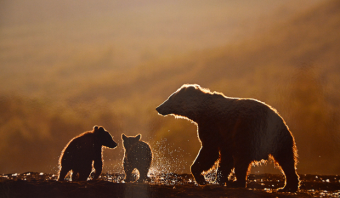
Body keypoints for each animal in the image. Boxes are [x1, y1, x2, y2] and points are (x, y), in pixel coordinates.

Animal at [155, 83, 298, 192]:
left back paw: (237, 182)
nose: (158, 107)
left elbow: (209, 151)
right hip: (280, 139)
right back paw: (288, 186)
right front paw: (218, 179)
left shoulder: (212, 125)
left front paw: (203, 178)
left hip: (248, 132)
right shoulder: (225, 137)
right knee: (286, 160)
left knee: (242, 158)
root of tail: (279, 119)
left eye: (170, 97)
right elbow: (225, 158)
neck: (198, 112)